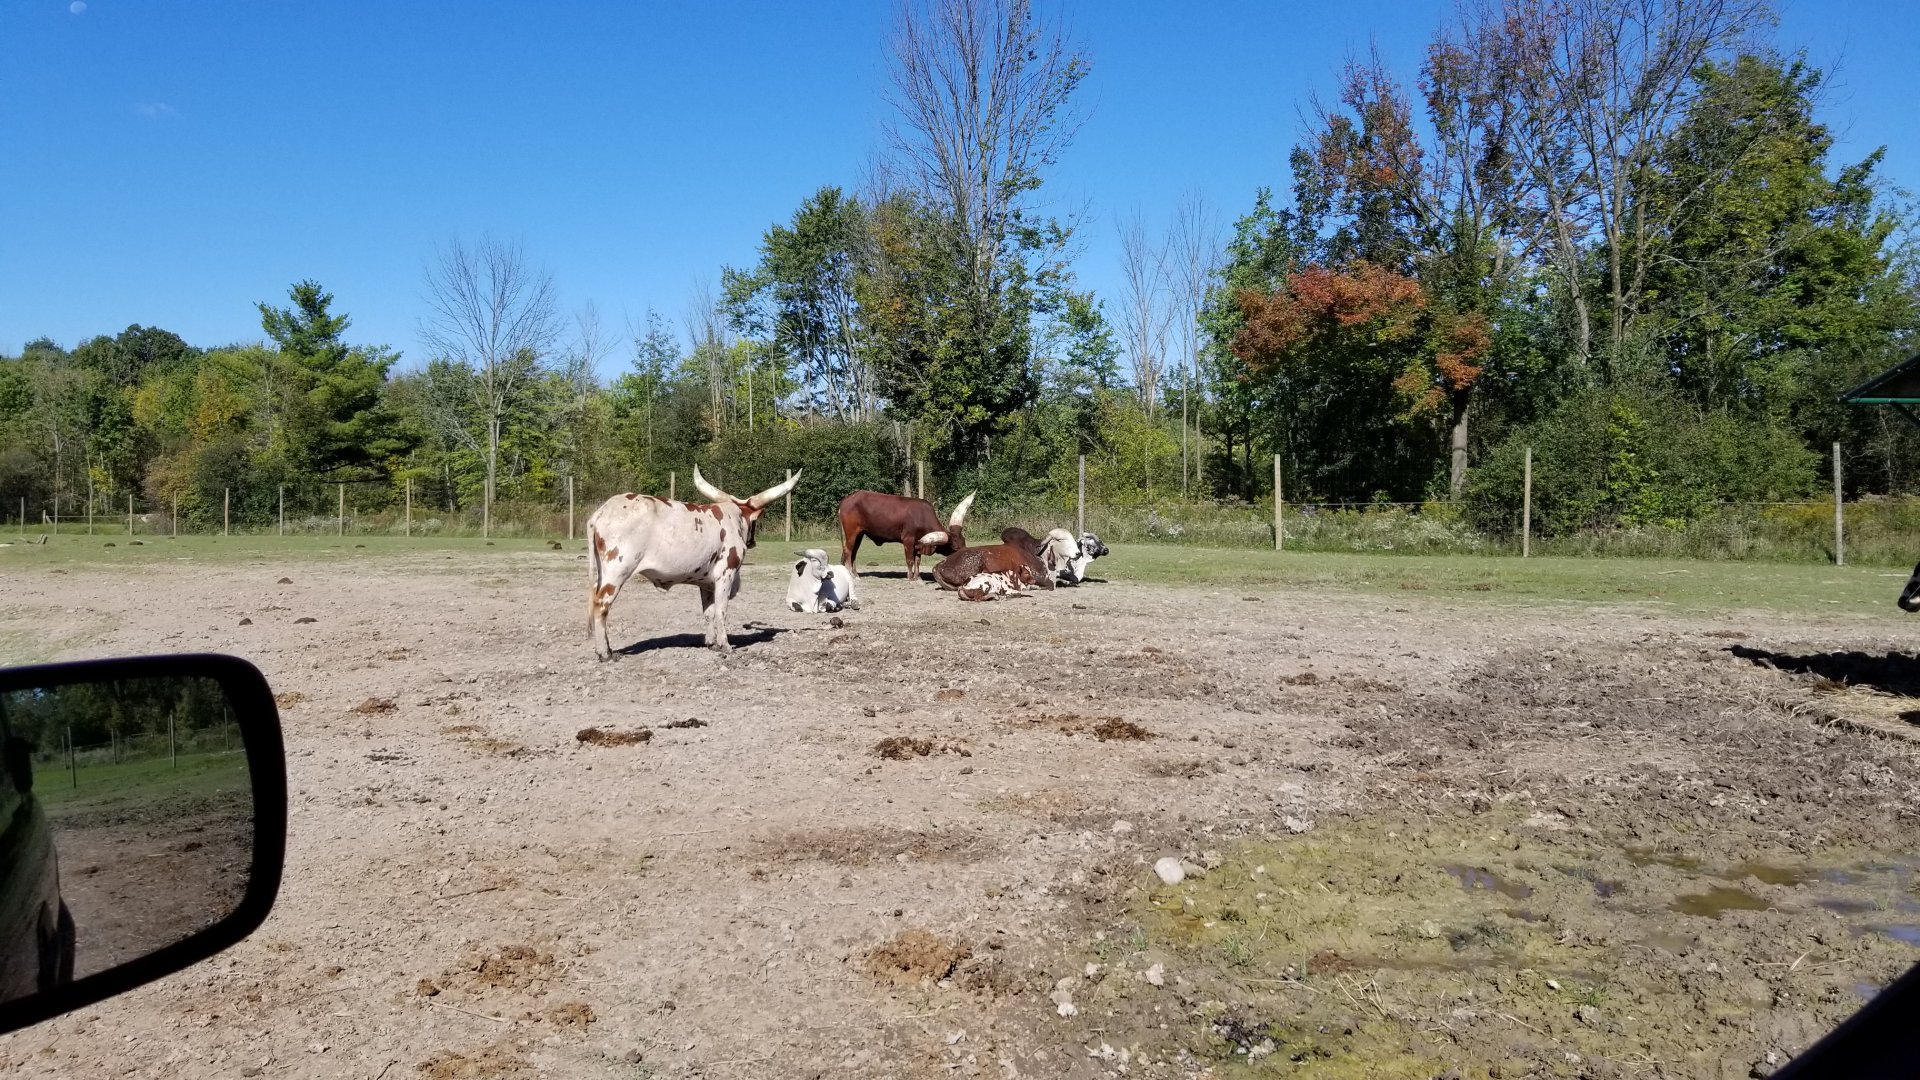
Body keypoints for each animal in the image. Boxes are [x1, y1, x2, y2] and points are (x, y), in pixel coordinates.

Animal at [585, 465, 802, 659]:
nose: (753, 541)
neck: (734, 518)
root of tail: (602, 512)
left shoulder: (706, 583)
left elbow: (709, 612)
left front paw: (711, 642)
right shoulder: (726, 574)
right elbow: (721, 610)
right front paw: (725, 644)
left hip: (601, 573)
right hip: (616, 571)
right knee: (601, 605)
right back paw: (605, 653)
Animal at [837, 490, 975, 581]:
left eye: (964, 542)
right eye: (956, 548)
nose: (966, 557)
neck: (922, 517)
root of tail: (846, 500)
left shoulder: (919, 542)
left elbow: (917, 560)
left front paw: (918, 577)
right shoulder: (908, 539)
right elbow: (910, 560)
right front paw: (910, 577)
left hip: (859, 534)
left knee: (853, 553)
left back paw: (855, 574)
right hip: (851, 533)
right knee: (848, 551)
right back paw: (851, 575)